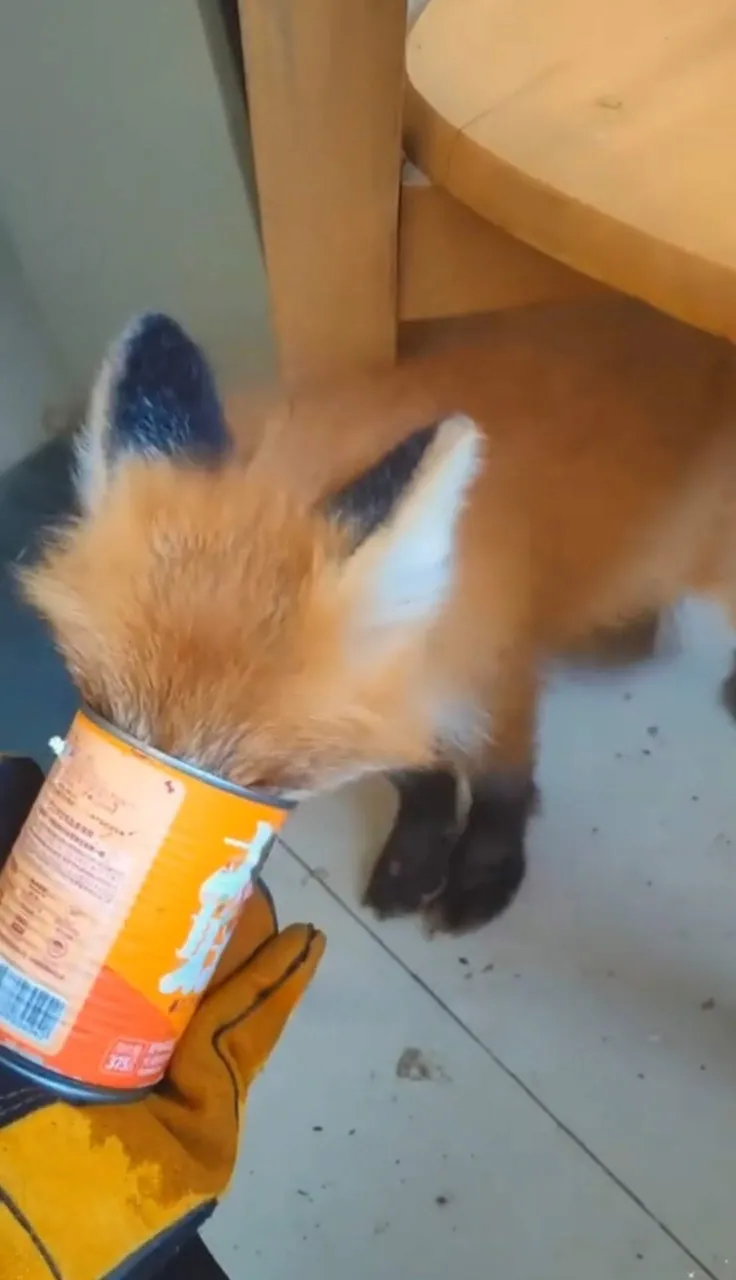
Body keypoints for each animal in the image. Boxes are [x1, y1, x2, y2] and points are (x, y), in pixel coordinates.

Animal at [21, 298, 736, 933]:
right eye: (100, 712)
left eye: (265, 780)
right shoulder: (395, 701)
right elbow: (420, 781)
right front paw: (415, 859)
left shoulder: (493, 673)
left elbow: (502, 786)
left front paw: (484, 871)